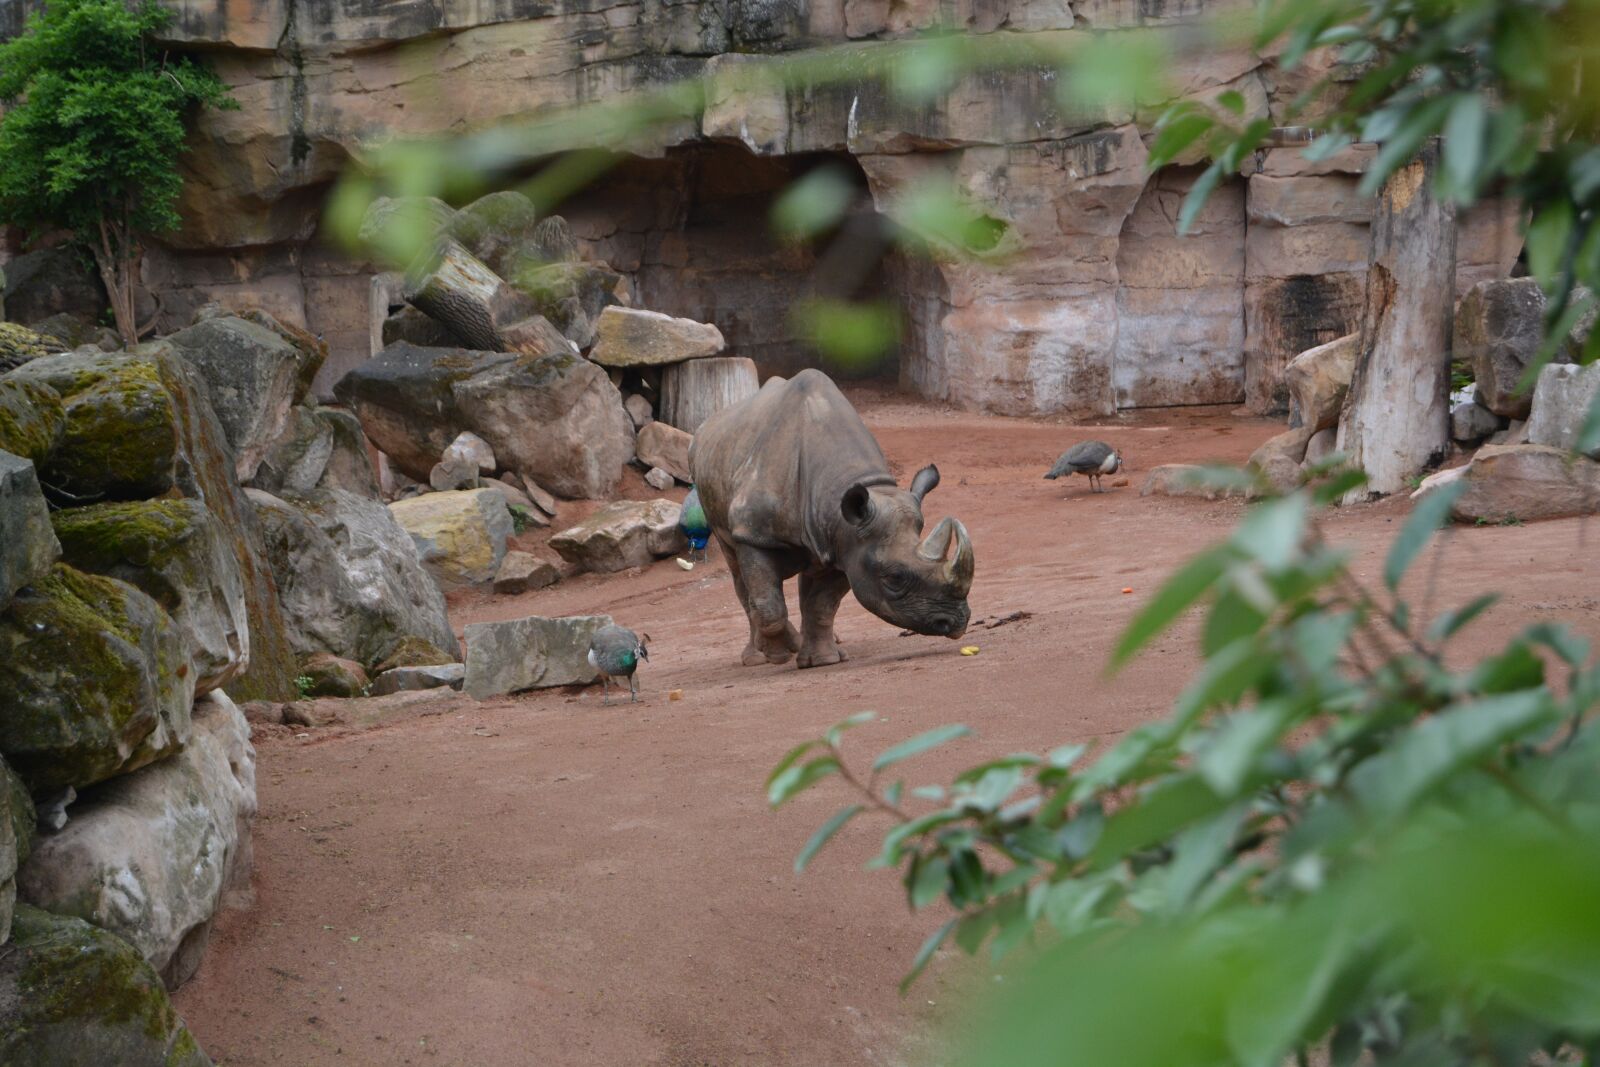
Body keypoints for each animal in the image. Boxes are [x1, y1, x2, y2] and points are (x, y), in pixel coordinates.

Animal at [689, 369, 975, 668]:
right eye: (894, 577)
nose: (956, 622)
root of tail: (704, 428)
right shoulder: (755, 535)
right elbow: (768, 604)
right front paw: (780, 653)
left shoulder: (847, 544)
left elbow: (822, 605)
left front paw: (823, 660)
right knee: (739, 577)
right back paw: (759, 657)